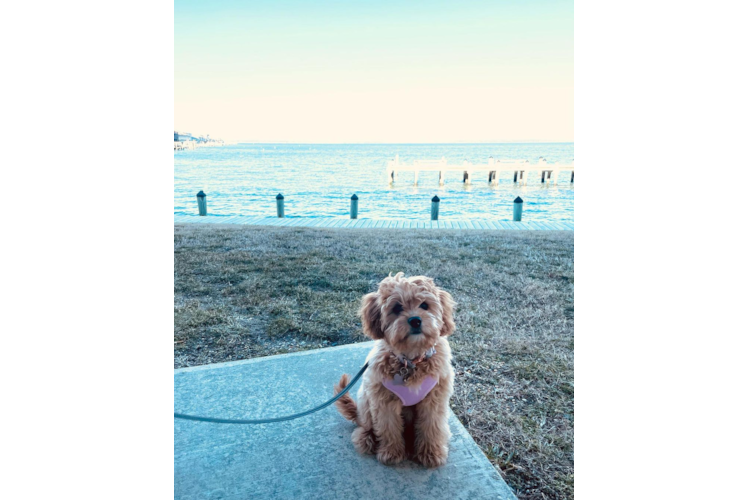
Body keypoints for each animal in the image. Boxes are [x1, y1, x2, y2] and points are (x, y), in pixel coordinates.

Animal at [334, 272, 456, 466]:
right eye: (397, 308)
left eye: (424, 305)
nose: (415, 320)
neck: (411, 361)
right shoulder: (384, 400)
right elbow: (388, 426)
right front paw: (391, 452)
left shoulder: (434, 398)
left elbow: (432, 425)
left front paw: (431, 453)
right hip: (365, 399)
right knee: (365, 425)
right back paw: (366, 438)